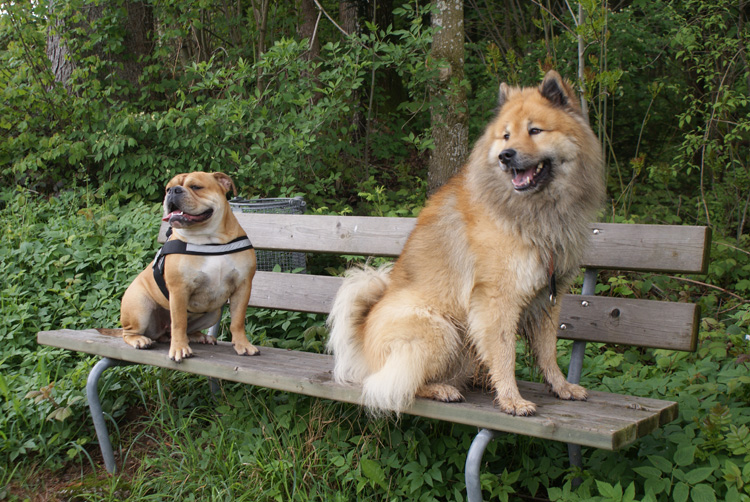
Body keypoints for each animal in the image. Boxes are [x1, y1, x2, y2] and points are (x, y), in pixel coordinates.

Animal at [118, 173, 258, 360]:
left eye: (196, 187)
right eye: (167, 188)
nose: (173, 191)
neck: (209, 239)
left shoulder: (242, 286)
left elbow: (237, 321)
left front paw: (242, 344)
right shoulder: (179, 290)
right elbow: (179, 322)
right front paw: (179, 348)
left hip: (214, 312)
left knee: (186, 330)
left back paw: (200, 336)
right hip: (139, 307)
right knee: (129, 332)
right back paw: (140, 340)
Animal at [328, 70, 604, 416]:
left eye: (535, 130)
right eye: (505, 136)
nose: (505, 156)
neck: (535, 211)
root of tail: (363, 346)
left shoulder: (548, 299)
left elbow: (548, 352)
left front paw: (561, 387)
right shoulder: (497, 299)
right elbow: (505, 353)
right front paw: (512, 399)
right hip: (441, 329)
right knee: (396, 383)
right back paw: (442, 389)